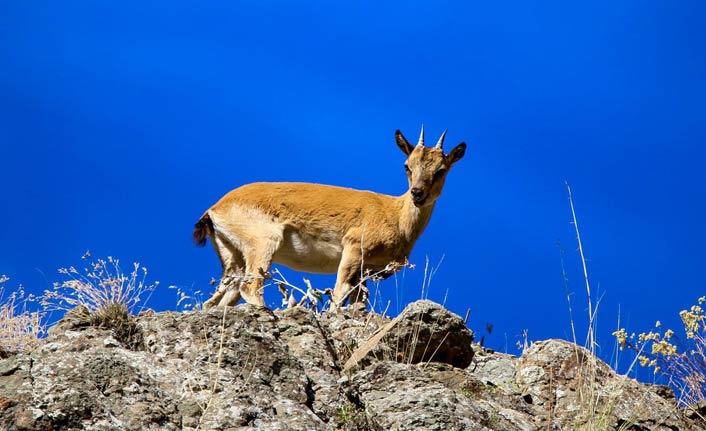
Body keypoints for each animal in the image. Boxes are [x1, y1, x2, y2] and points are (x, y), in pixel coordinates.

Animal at [194, 126, 468, 308]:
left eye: (441, 170)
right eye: (407, 165)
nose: (417, 193)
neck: (396, 216)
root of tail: (214, 209)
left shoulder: (363, 273)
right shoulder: (353, 250)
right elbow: (338, 297)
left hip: (233, 259)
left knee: (217, 301)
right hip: (262, 245)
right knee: (250, 288)